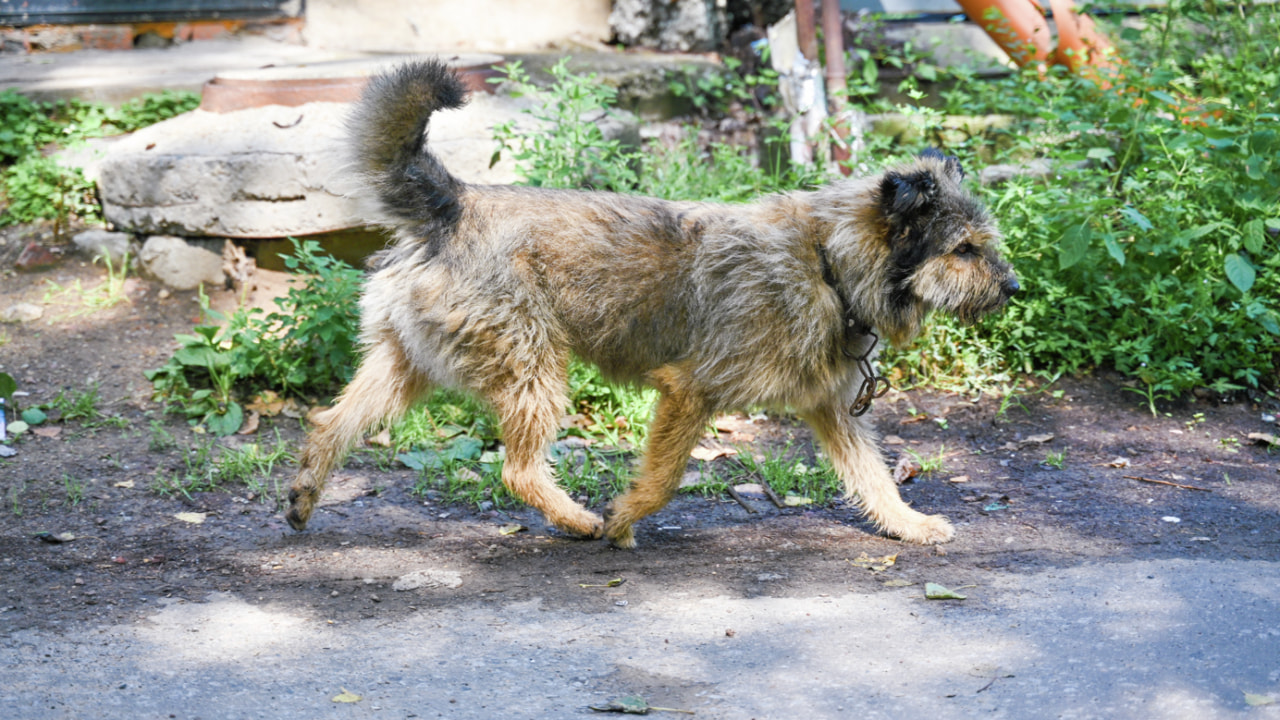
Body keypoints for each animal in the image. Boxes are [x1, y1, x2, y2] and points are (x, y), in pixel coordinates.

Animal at [282, 60, 1018, 543]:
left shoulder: (831, 408)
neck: (828, 262)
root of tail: (452, 202)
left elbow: (874, 477)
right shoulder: (689, 390)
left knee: (329, 423)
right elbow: (664, 478)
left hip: (405, 364)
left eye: (982, 243)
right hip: (532, 370)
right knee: (517, 469)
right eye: (963, 248)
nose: (1014, 288)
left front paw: (908, 524)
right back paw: (577, 518)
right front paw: (624, 517)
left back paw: (304, 495)